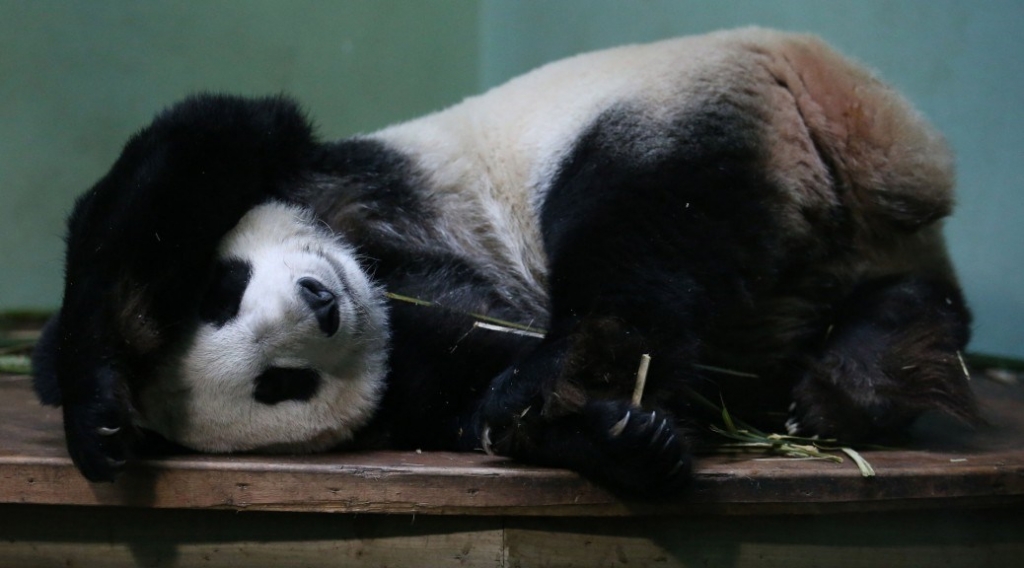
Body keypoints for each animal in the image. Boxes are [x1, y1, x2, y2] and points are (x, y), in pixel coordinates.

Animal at [29, 28, 974, 495]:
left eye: (220, 292)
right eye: (279, 385)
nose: (320, 306)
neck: (377, 276)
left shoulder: (327, 174)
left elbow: (206, 137)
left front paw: (97, 404)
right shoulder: (409, 365)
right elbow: (456, 384)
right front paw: (626, 443)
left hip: (685, 106)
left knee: (630, 223)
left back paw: (554, 379)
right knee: (902, 299)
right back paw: (868, 369)